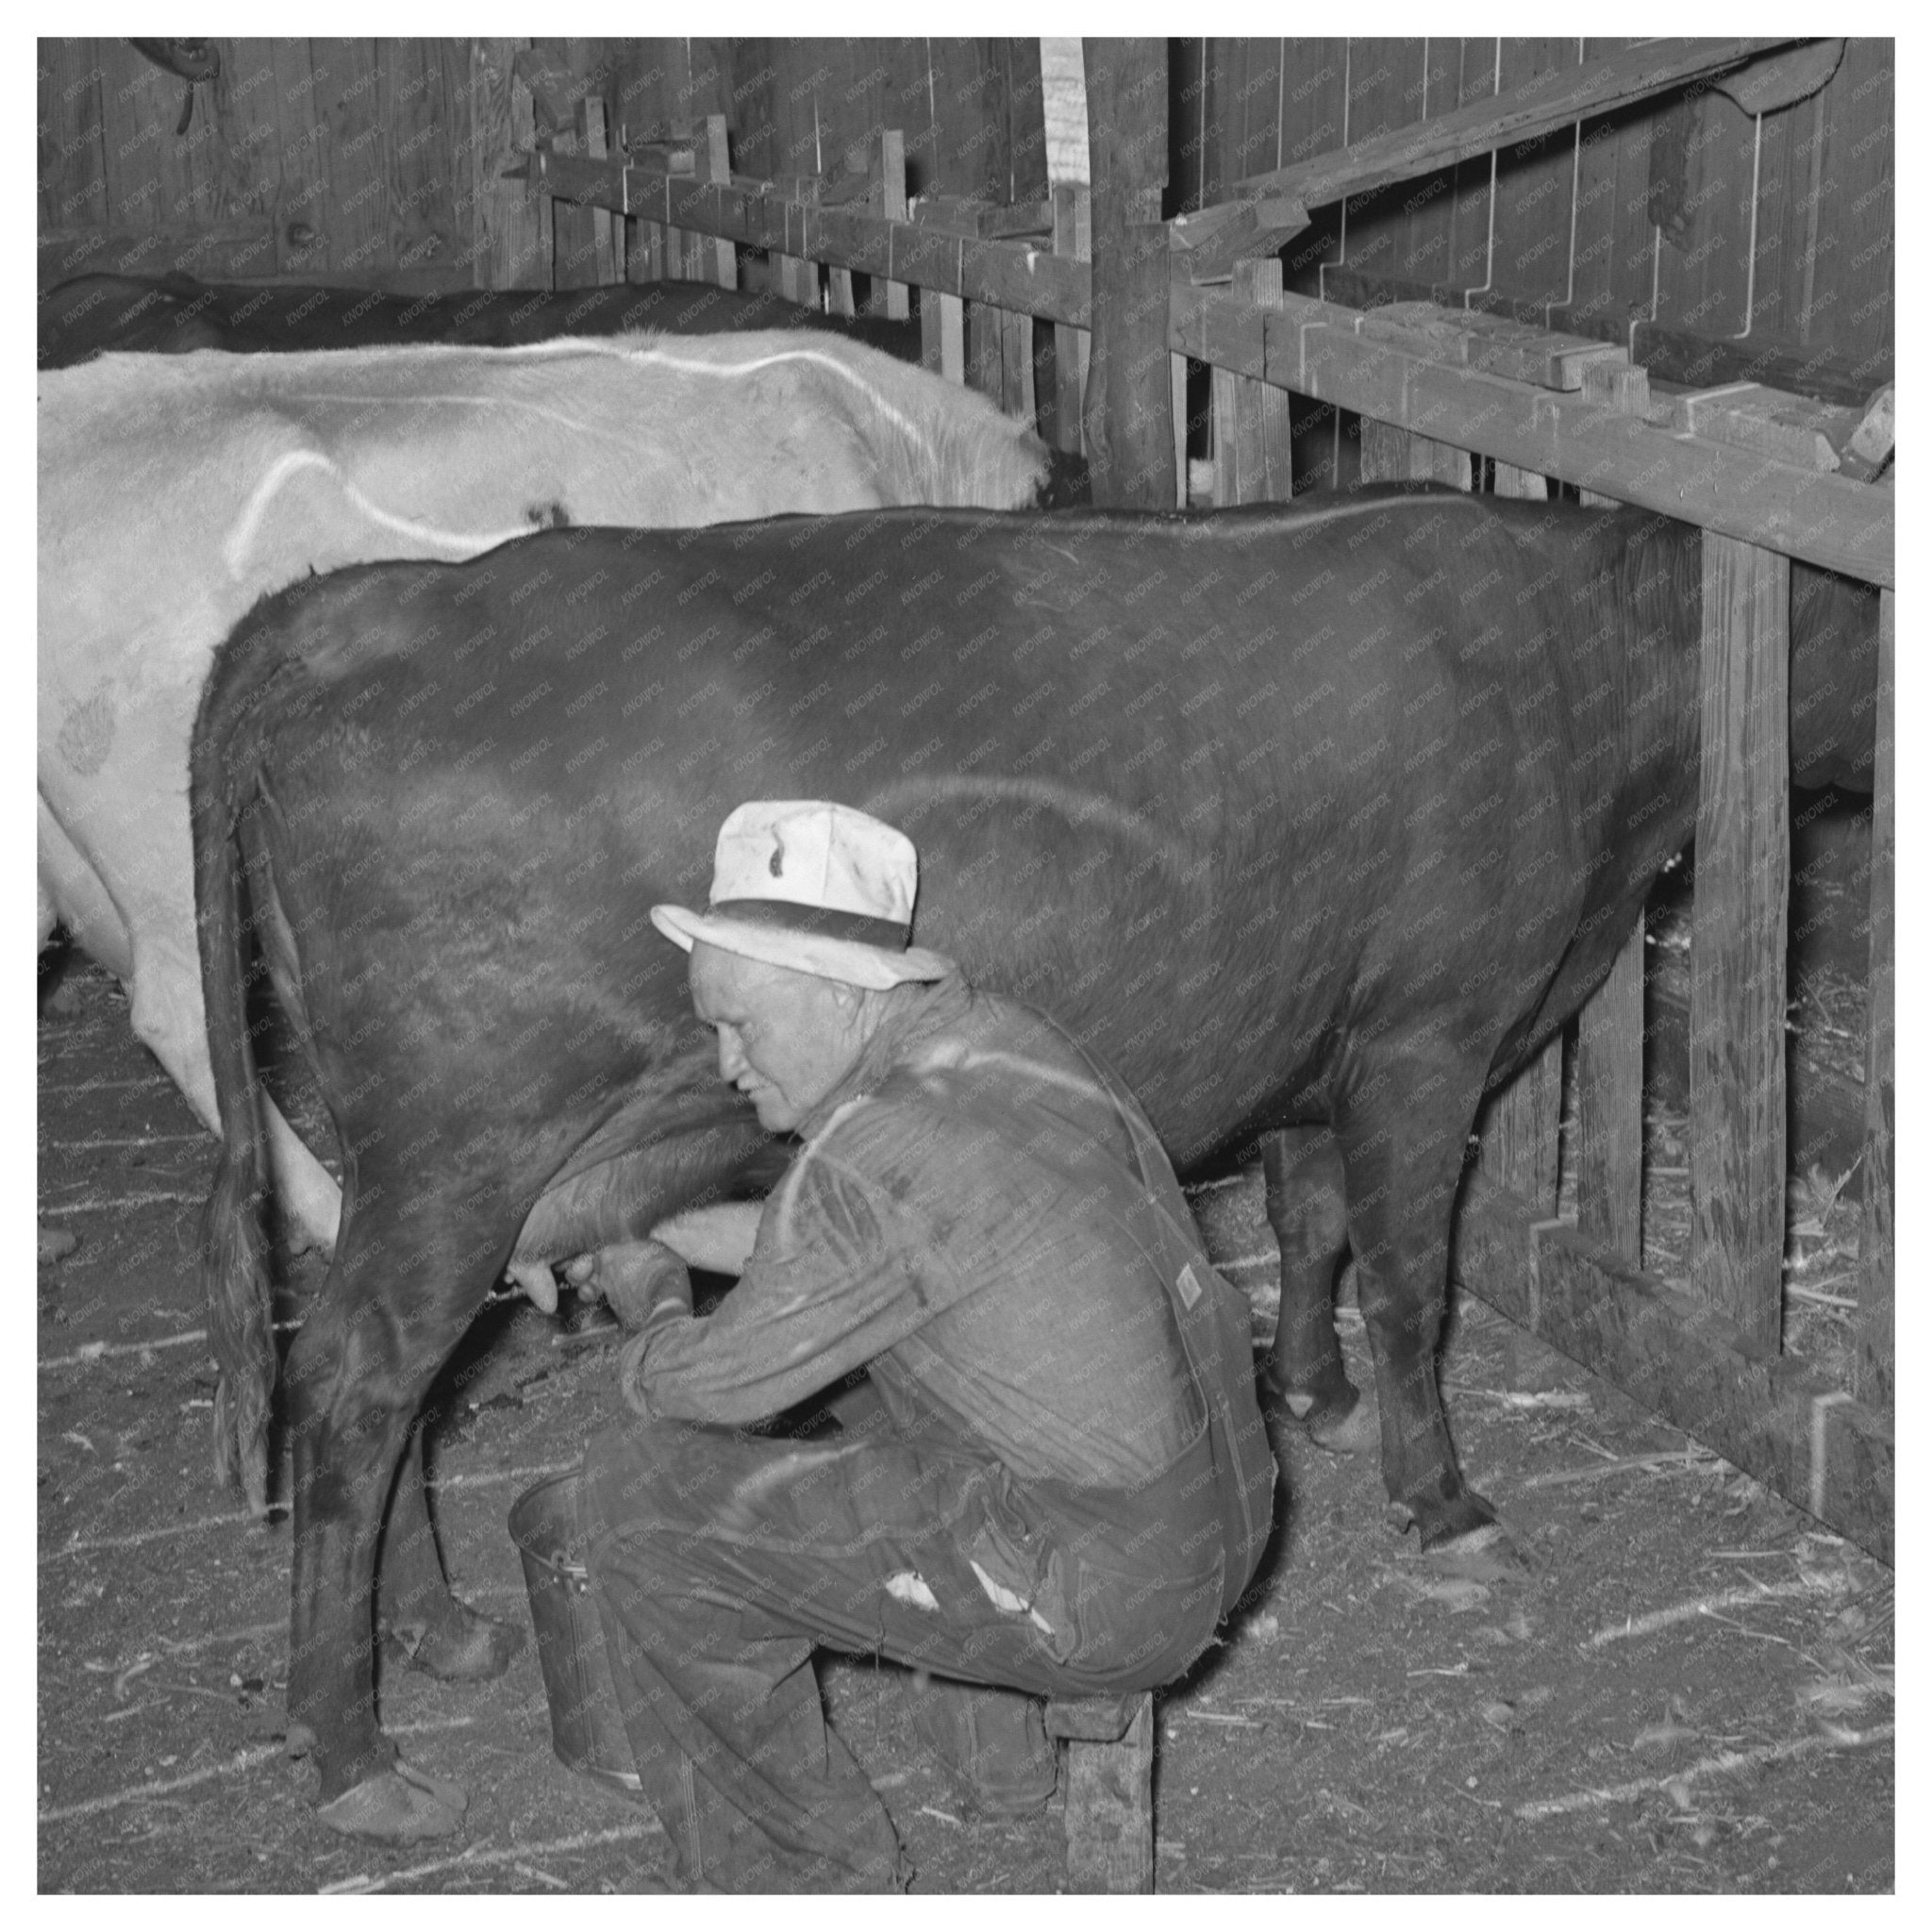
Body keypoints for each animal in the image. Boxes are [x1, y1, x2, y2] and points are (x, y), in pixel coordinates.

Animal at [190, 483, 1878, 1840]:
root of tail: (348, 605)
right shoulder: (1427, 1034)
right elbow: (1412, 1277)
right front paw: (1444, 1501)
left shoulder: (1316, 1036)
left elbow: (1313, 1219)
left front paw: (1310, 1391)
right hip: (459, 1150)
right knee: (354, 1386)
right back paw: (352, 1749)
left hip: (409, 1166)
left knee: (400, 1394)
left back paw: (436, 1629)